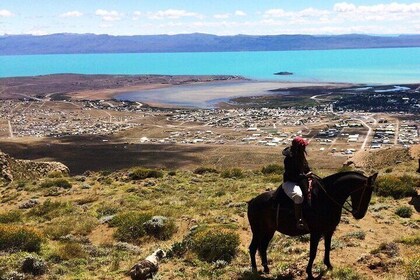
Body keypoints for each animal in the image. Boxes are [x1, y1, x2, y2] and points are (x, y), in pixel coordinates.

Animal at [246, 172, 378, 278]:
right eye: (365, 192)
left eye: (372, 191)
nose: (359, 215)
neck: (326, 199)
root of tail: (252, 201)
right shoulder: (316, 232)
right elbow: (313, 252)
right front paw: (309, 273)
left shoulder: (329, 230)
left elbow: (327, 247)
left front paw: (328, 266)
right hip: (257, 231)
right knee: (253, 248)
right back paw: (255, 270)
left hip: (269, 230)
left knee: (262, 247)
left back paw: (266, 268)